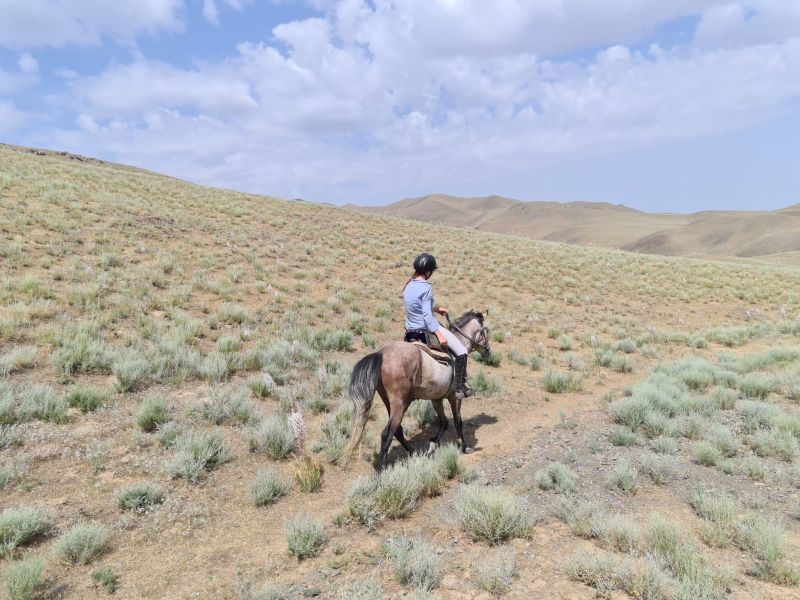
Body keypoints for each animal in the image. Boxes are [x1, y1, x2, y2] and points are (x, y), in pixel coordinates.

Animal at [336, 312, 490, 472]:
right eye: (486, 331)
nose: (488, 351)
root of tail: (381, 354)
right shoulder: (454, 397)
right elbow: (457, 421)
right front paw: (464, 447)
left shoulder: (436, 398)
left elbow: (444, 422)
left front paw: (433, 444)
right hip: (401, 403)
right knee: (387, 435)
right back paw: (382, 472)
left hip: (389, 400)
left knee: (397, 430)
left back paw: (414, 452)